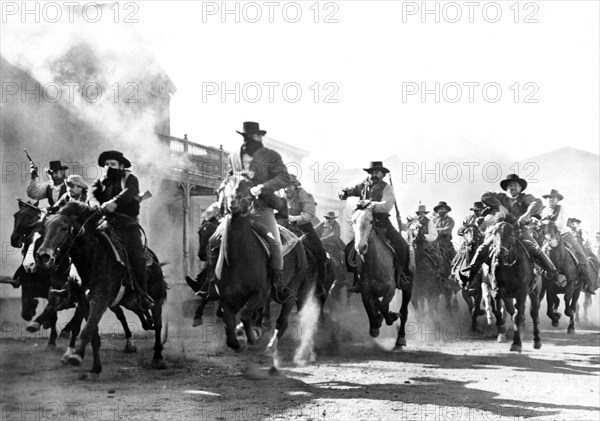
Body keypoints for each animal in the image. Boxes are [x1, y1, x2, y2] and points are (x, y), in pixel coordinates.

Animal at [35, 203, 168, 374]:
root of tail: (155, 260)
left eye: (64, 228)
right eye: (45, 227)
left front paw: (76, 356)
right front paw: (95, 368)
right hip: (127, 301)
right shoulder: (83, 302)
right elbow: (91, 333)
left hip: (155, 299)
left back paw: (158, 357)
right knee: (137, 315)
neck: (91, 261)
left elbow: (86, 330)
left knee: (157, 325)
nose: (43, 256)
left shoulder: (99, 300)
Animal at [350, 200, 410, 348]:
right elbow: (370, 308)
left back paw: (401, 338)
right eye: (353, 221)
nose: (361, 247)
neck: (375, 263)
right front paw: (375, 326)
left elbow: (383, 306)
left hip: (408, 288)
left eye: (371, 221)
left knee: (404, 311)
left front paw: (390, 317)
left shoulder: (391, 288)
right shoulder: (365, 291)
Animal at [488, 220, 544, 352]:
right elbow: (498, 311)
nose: (500, 253)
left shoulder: (522, 293)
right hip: (509, 297)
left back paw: (537, 341)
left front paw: (516, 343)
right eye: (494, 233)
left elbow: (518, 316)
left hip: (534, 293)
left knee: (534, 314)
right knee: (512, 312)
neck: (509, 265)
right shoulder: (497, 291)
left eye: (511, 234)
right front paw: (501, 328)